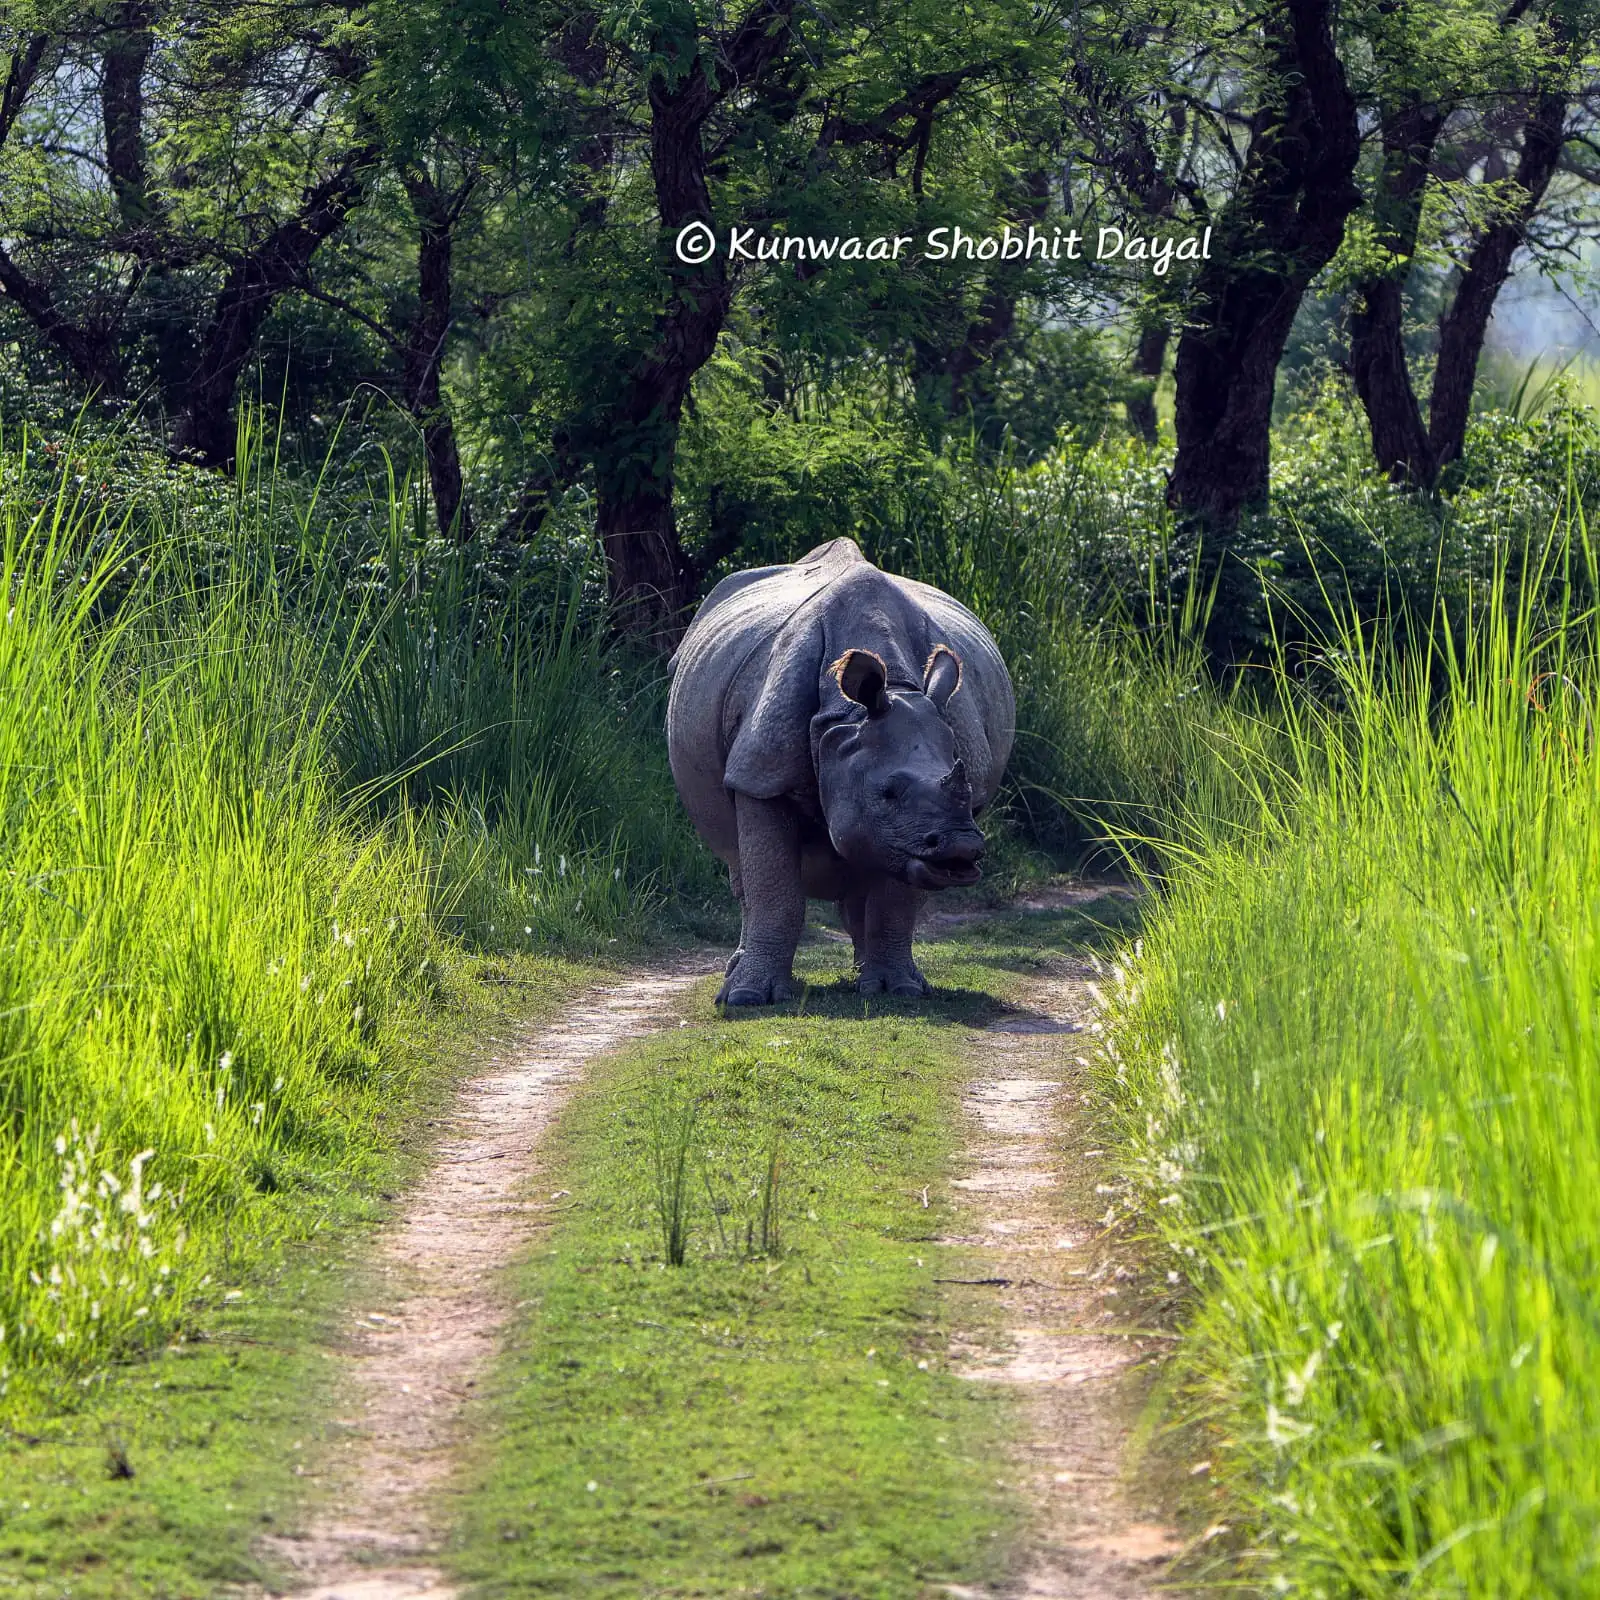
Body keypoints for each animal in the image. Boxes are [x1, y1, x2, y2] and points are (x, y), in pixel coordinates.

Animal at [666, 537, 1015, 1005]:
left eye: (967, 787)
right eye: (889, 792)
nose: (961, 847)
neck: (845, 718)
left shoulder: (911, 832)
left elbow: (894, 895)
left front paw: (900, 991)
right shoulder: (762, 770)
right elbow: (774, 891)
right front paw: (746, 998)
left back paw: (879, 979)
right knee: (740, 863)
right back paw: (738, 974)